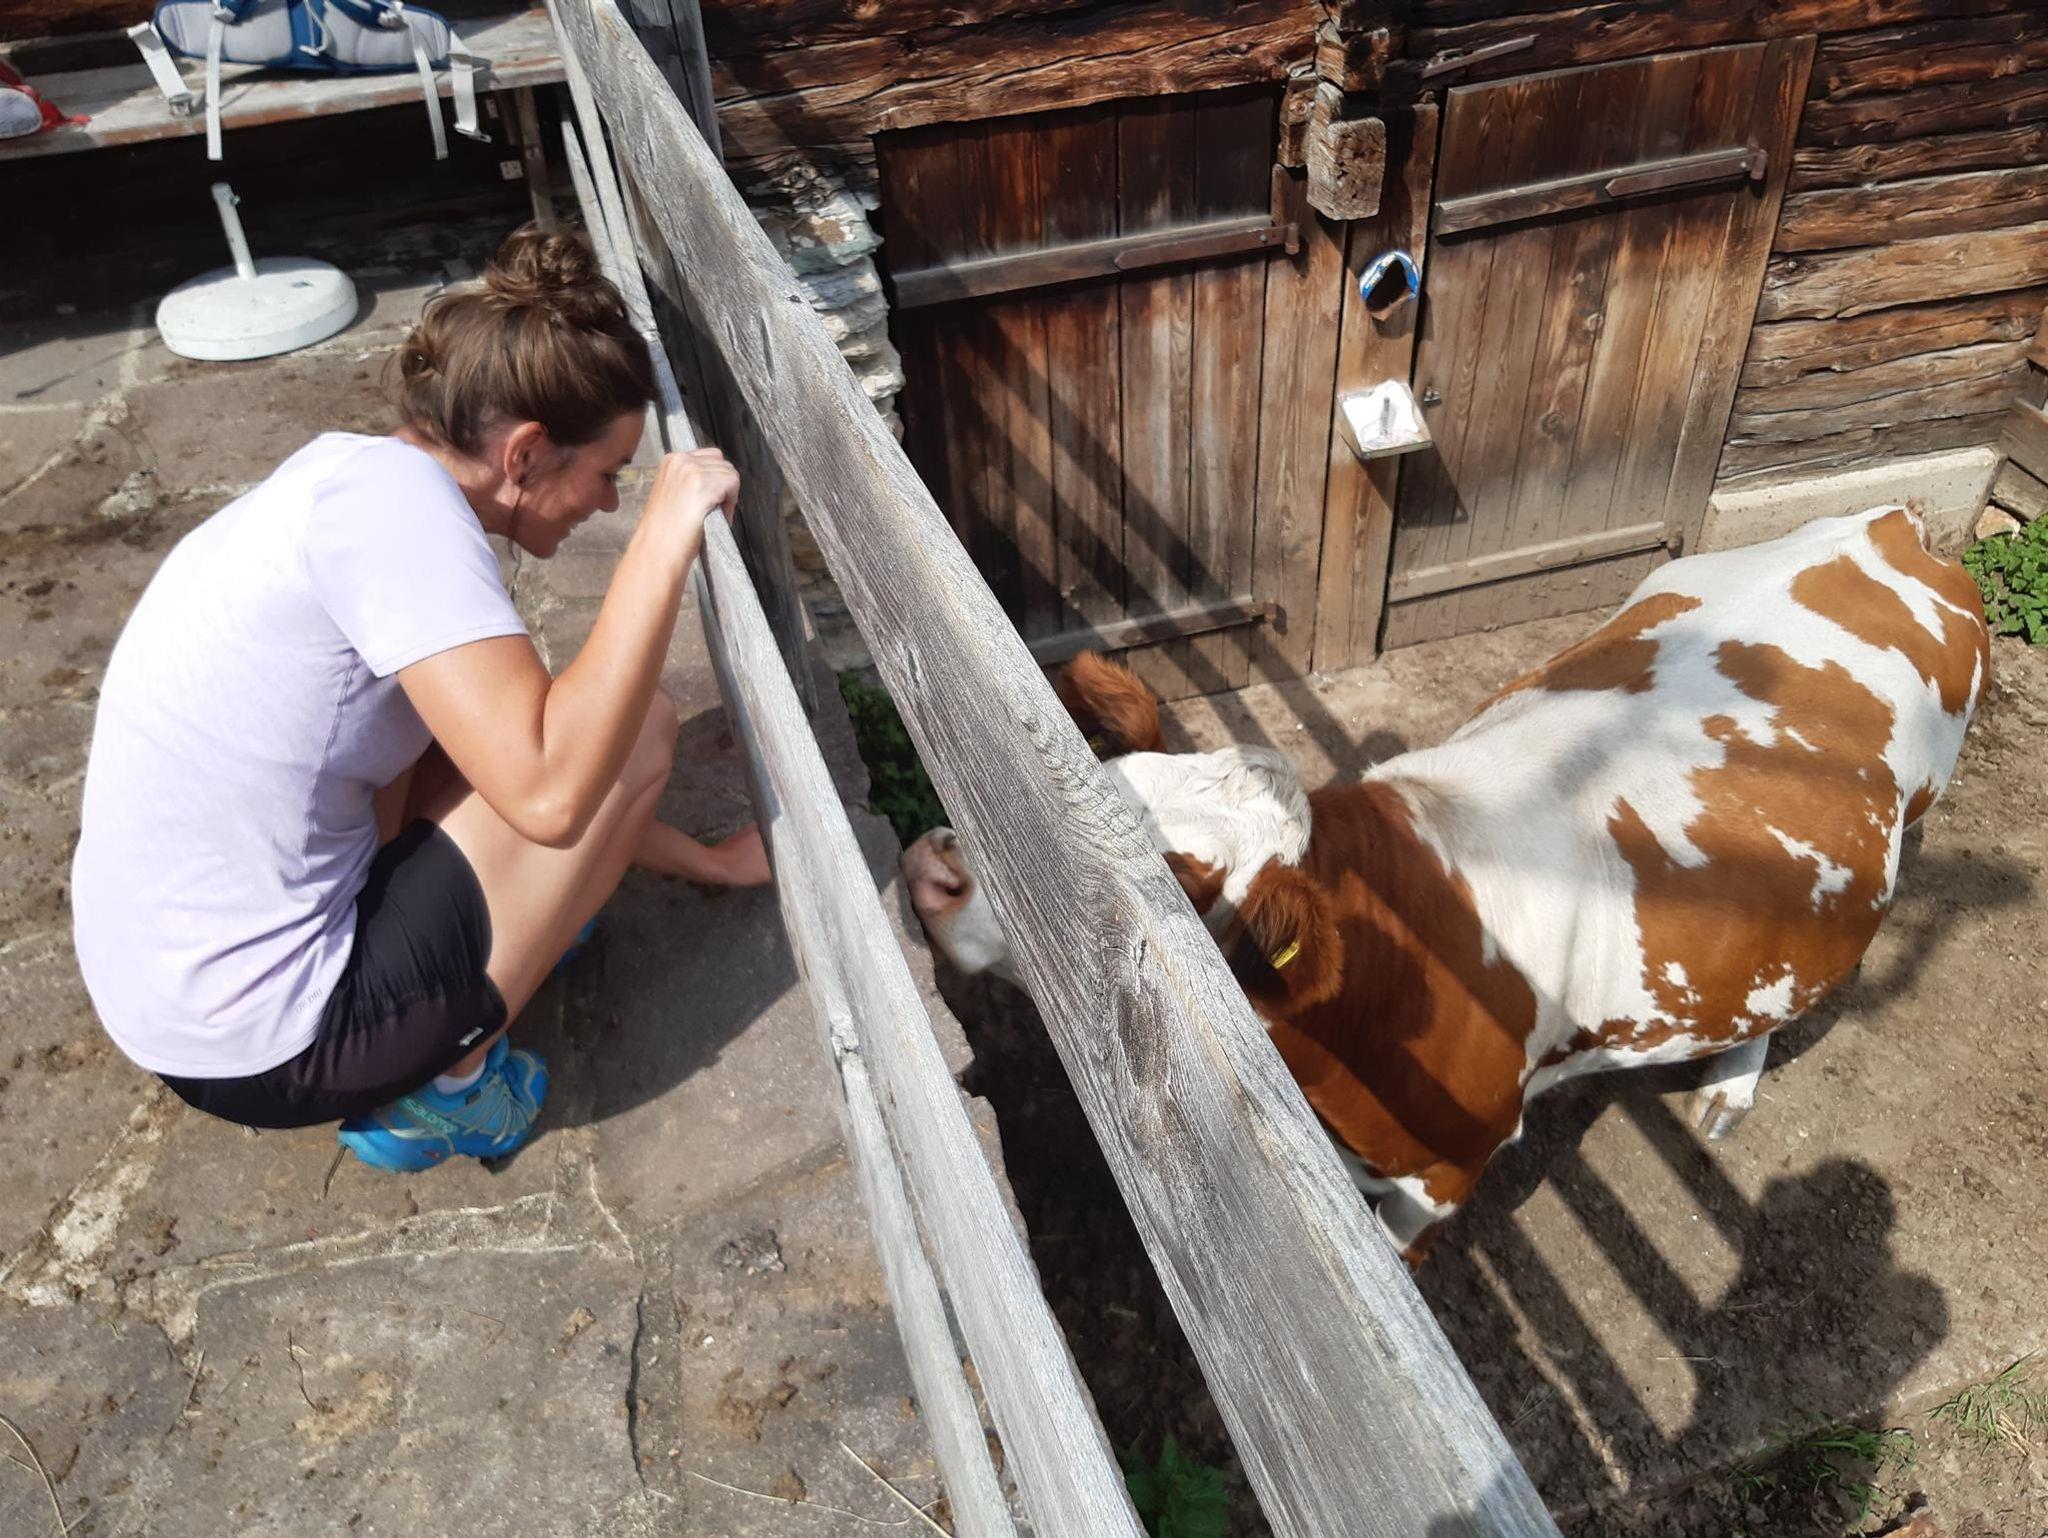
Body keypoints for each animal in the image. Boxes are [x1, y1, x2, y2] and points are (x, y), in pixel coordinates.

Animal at [901, 507, 1990, 1260]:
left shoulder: (1449, 1171)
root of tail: (1883, 521)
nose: (935, 865)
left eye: (1173, 877)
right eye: (1100, 774)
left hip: (1916, 821)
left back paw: (1729, 1085)